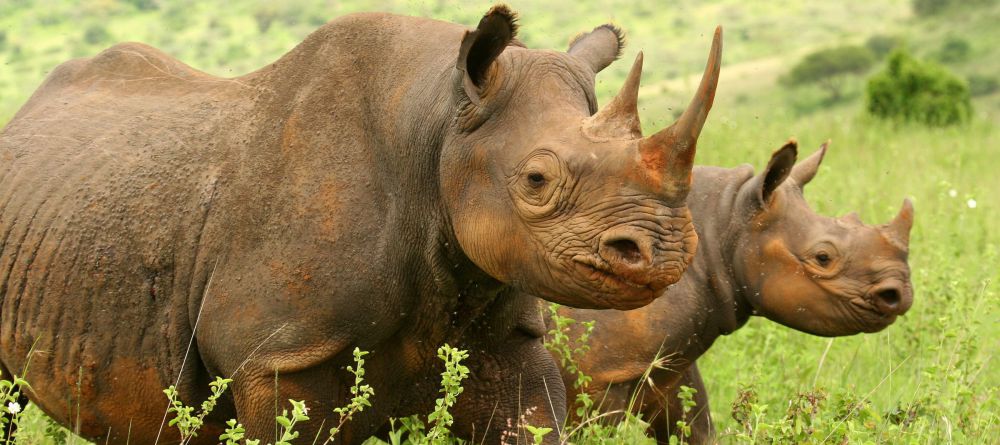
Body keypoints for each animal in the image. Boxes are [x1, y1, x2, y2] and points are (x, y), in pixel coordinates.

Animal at [0, 6, 724, 444]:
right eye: (536, 181)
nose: (663, 252)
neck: (439, 122)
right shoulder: (281, 353)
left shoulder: (507, 333)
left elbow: (530, 417)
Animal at [552, 140, 914, 444]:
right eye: (823, 258)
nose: (900, 294)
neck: (727, 220)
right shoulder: (598, 375)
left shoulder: (667, 366)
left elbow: (694, 424)